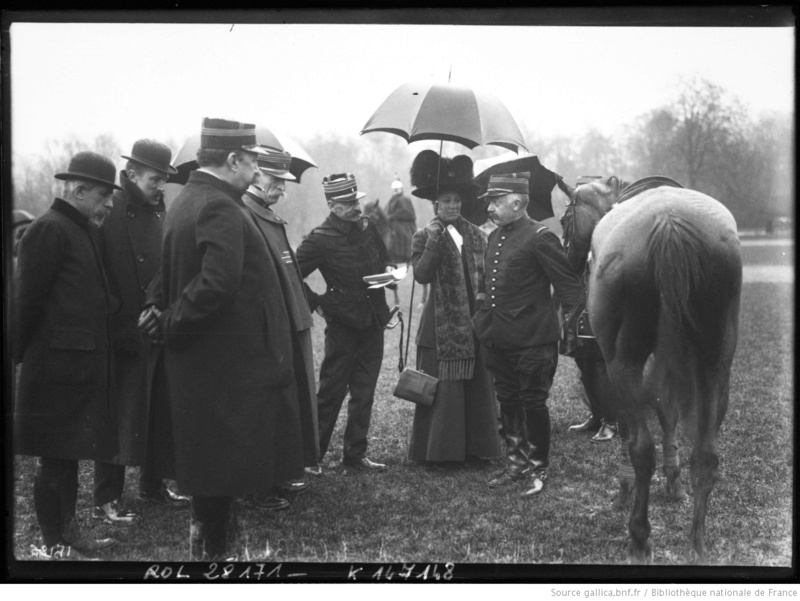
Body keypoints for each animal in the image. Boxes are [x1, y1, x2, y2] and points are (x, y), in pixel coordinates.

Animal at [564, 175, 744, 564]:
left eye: (567, 215)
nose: (570, 256)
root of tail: (668, 222)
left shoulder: (613, 366)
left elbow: (630, 431)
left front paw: (624, 489)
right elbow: (668, 415)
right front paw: (674, 481)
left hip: (624, 362)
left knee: (642, 450)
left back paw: (639, 538)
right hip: (715, 363)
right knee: (706, 454)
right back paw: (697, 545)